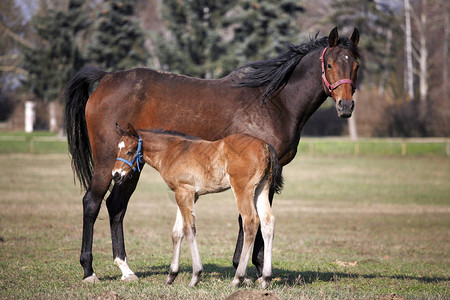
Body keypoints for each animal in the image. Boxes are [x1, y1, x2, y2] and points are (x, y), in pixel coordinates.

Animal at [112, 124, 282, 288]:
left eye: (130, 151)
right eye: (117, 149)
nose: (115, 175)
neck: (172, 152)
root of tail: (265, 145)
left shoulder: (184, 191)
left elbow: (188, 229)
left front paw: (195, 276)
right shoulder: (186, 194)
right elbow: (177, 232)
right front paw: (171, 276)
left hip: (242, 189)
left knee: (250, 222)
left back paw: (237, 278)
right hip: (261, 189)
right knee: (268, 222)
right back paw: (266, 279)